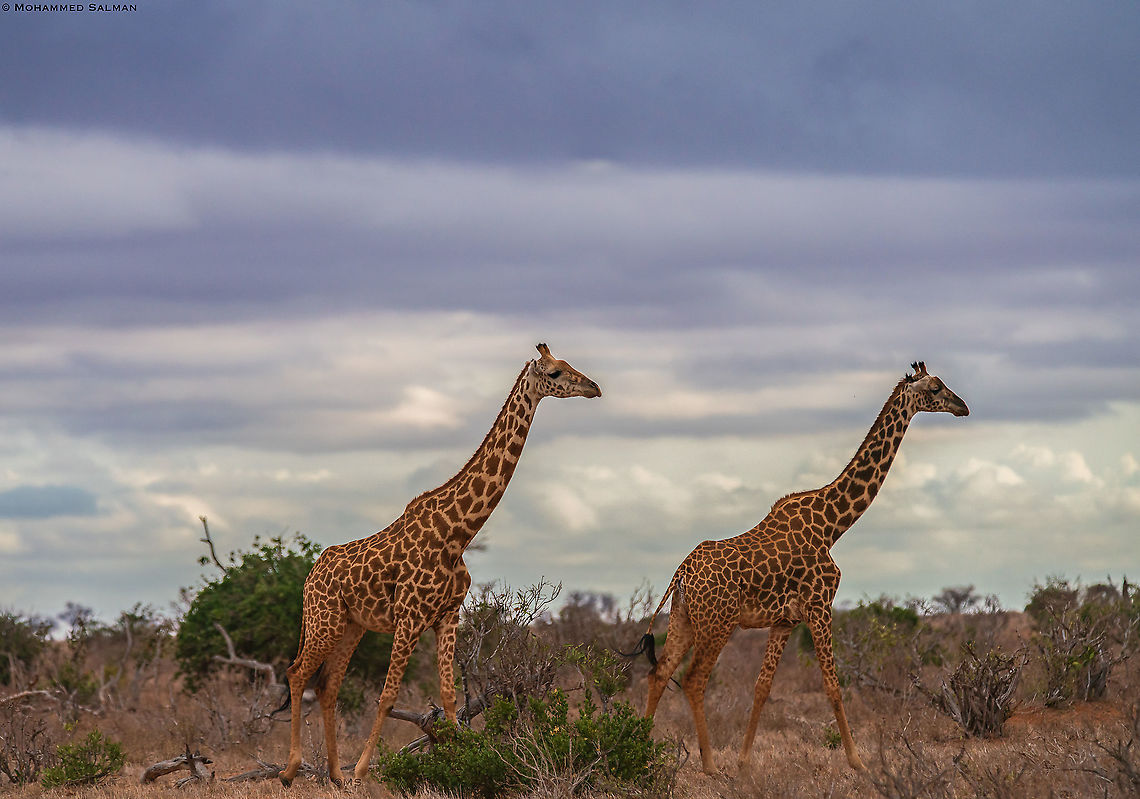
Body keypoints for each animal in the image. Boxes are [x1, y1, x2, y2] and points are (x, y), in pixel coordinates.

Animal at [279, 344, 601, 787]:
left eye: (571, 365)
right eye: (554, 372)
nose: (594, 387)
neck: (458, 533)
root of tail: (311, 575)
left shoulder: (448, 615)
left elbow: (449, 697)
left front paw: (467, 760)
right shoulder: (410, 616)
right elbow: (387, 696)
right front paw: (363, 770)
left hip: (351, 625)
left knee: (328, 686)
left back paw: (334, 775)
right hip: (323, 619)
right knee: (296, 673)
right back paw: (292, 770)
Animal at [630, 361, 968, 775]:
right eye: (936, 388)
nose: (963, 407)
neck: (832, 525)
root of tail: (681, 574)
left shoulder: (785, 620)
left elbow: (762, 687)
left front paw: (745, 761)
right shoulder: (819, 606)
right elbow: (834, 686)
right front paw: (858, 761)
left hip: (684, 619)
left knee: (659, 672)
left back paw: (640, 750)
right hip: (718, 622)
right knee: (693, 680)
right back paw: (709, 765)